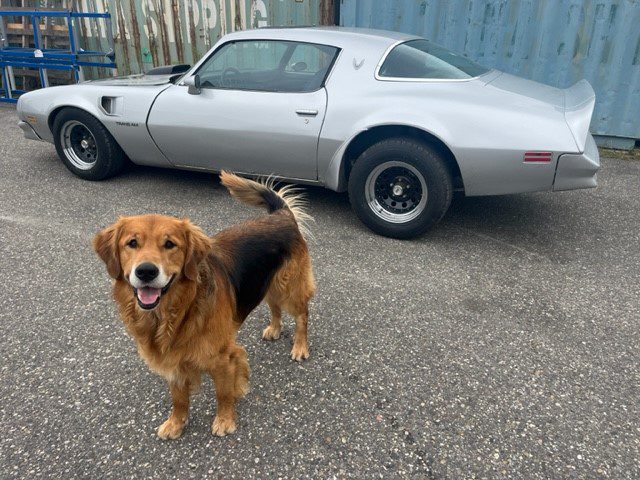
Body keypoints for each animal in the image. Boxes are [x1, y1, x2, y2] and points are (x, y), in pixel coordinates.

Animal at [92, 172, 316, 438]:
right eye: (132, 243)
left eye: (170, 244)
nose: (146, 271)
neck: (177, 311)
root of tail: (281, 215)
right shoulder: (173, 359)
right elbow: (178, 398)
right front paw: (176, 423)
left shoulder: (223, 357)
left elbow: (223, 393)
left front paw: (225, 420)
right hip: (267, 281)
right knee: (274, 306)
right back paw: (274, 328)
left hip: (289, 286)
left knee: (302, 315)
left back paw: (300, 346)